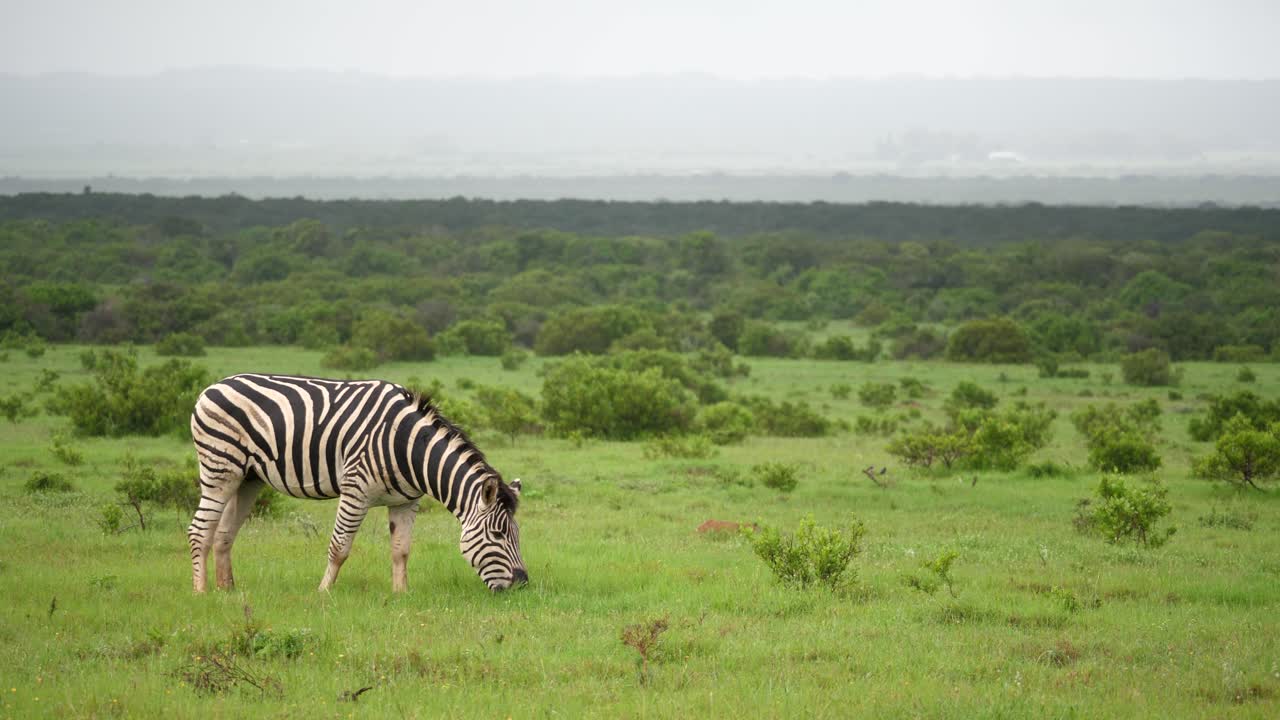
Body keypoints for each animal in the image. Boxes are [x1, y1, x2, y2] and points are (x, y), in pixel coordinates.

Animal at [186, 373, 527, 593]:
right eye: (498, 534)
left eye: (517, 534)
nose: (523, 583)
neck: (408, 446)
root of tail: (211, 387)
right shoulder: (356, 489)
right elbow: (339, 547)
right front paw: (323, 593)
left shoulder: (407, 501)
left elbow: (401, 549)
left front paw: (401, 594)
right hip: (220, 468)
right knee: (199, 530)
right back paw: (202, 592)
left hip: (249, 478)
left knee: (224, 533)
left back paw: (228, 590)